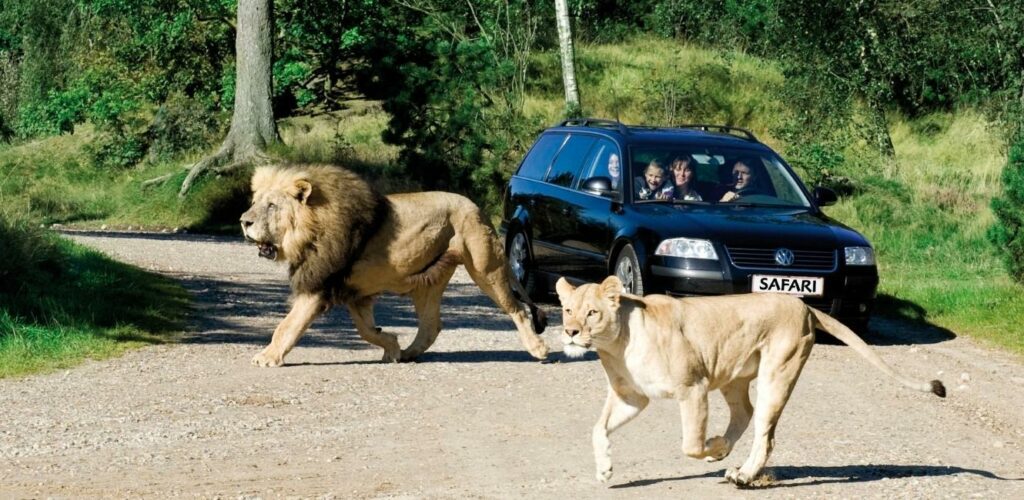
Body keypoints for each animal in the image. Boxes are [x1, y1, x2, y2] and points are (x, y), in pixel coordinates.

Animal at [237, 165, 552, 364]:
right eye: (255, 202)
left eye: (272, 206)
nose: (243, 221)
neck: (308, 229)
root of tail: (477, 207)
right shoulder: (355, 292)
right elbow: (365, 331)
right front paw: (391, 345)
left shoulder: (318, 286)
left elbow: (287, 325)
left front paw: (267, 357)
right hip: (428, 282)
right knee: (431, 325)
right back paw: (410, 353)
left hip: (486, 269)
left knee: (517, 308)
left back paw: (538, 349)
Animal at [557, 274, 946, 485]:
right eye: (567, 309)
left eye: (592, 313)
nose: (570, 332)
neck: (617, 345)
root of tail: (804, 304)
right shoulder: (631, 396)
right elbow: (598, 429)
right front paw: (605, 470)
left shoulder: (694, 388)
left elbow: (690, 444)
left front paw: (712, 447)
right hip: (734, 375)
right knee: (744, 413)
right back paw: (729, 454)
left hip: (778, 371)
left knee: (765, 433)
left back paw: (742, 474)